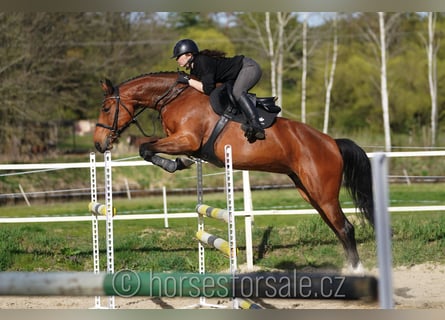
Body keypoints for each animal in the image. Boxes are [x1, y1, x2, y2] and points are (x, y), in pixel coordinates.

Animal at [94, 72, 374, 272]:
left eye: (106, 109)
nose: (98, 144)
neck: (174, 97)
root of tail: (332, 142)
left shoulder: (186, 140)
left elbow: (145, 148)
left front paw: (177, 164)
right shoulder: (178, 140)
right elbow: (147, 148)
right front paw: (179, 164)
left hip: (323, 192)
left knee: (345, 228)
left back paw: (357, 272)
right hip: (309, 192)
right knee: (337, 228)